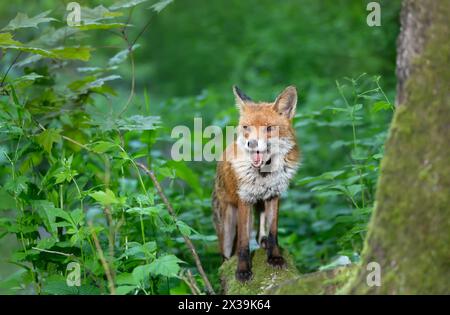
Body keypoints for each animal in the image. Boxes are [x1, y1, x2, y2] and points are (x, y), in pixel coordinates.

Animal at [211, 85, 298, 282]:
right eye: (246, 128)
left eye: (269, 128)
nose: (251, 143)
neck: (263, 174)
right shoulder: (245, 199)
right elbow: (243, 244)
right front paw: (243, 270)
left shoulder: (274, 195)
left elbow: (273, 233)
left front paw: (275, 257)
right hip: (227, 225)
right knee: (226, 255)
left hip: (260, 204)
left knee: (260, 231)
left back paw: (262, 242)